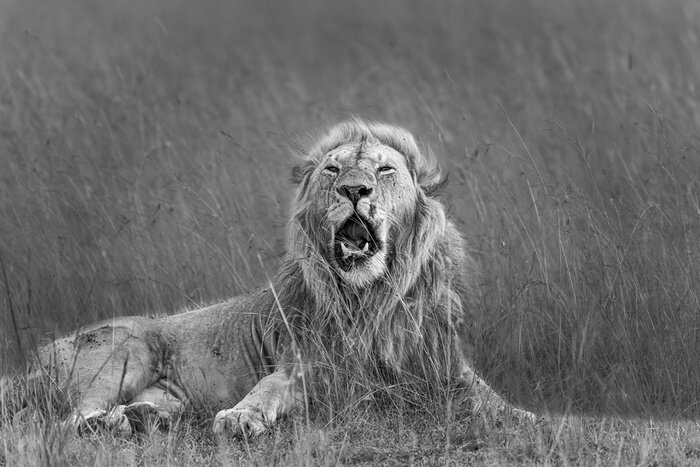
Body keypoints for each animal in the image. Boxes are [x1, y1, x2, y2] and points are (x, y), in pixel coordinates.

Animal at [23, 119, 535, 436]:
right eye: (333, 169)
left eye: (385, 169)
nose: (354, 189)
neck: (370, 299)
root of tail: (37, 355)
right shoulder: (305, 365)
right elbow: (267, 389)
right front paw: (239, 418)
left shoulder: (444, 365)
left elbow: (491, 399)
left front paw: (527, 418)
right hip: (127, 351)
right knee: (68, 421)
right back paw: (107, 424)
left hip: (168, 394)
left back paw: (143, 419)